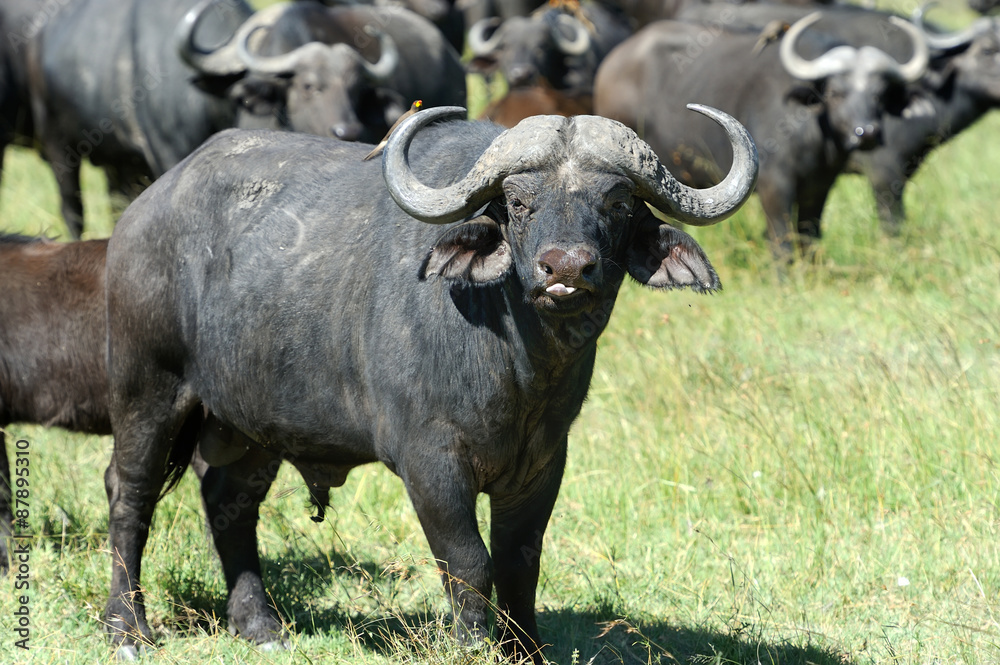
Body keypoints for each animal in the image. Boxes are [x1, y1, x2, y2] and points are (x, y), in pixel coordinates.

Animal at [102, 105, 757, 660]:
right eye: (518, 202)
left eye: (617, 203)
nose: (566, 268)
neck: (517, 368)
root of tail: (140, 215)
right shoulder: (430, 462)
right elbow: (468, 561)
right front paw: (473, 645)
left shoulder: (544, 464)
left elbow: (519, 563)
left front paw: (526, 649)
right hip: (147, 394)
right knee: (129, 493)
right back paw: (128, 629)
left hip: (252, 424)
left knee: (228, 501)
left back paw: (261, 627)